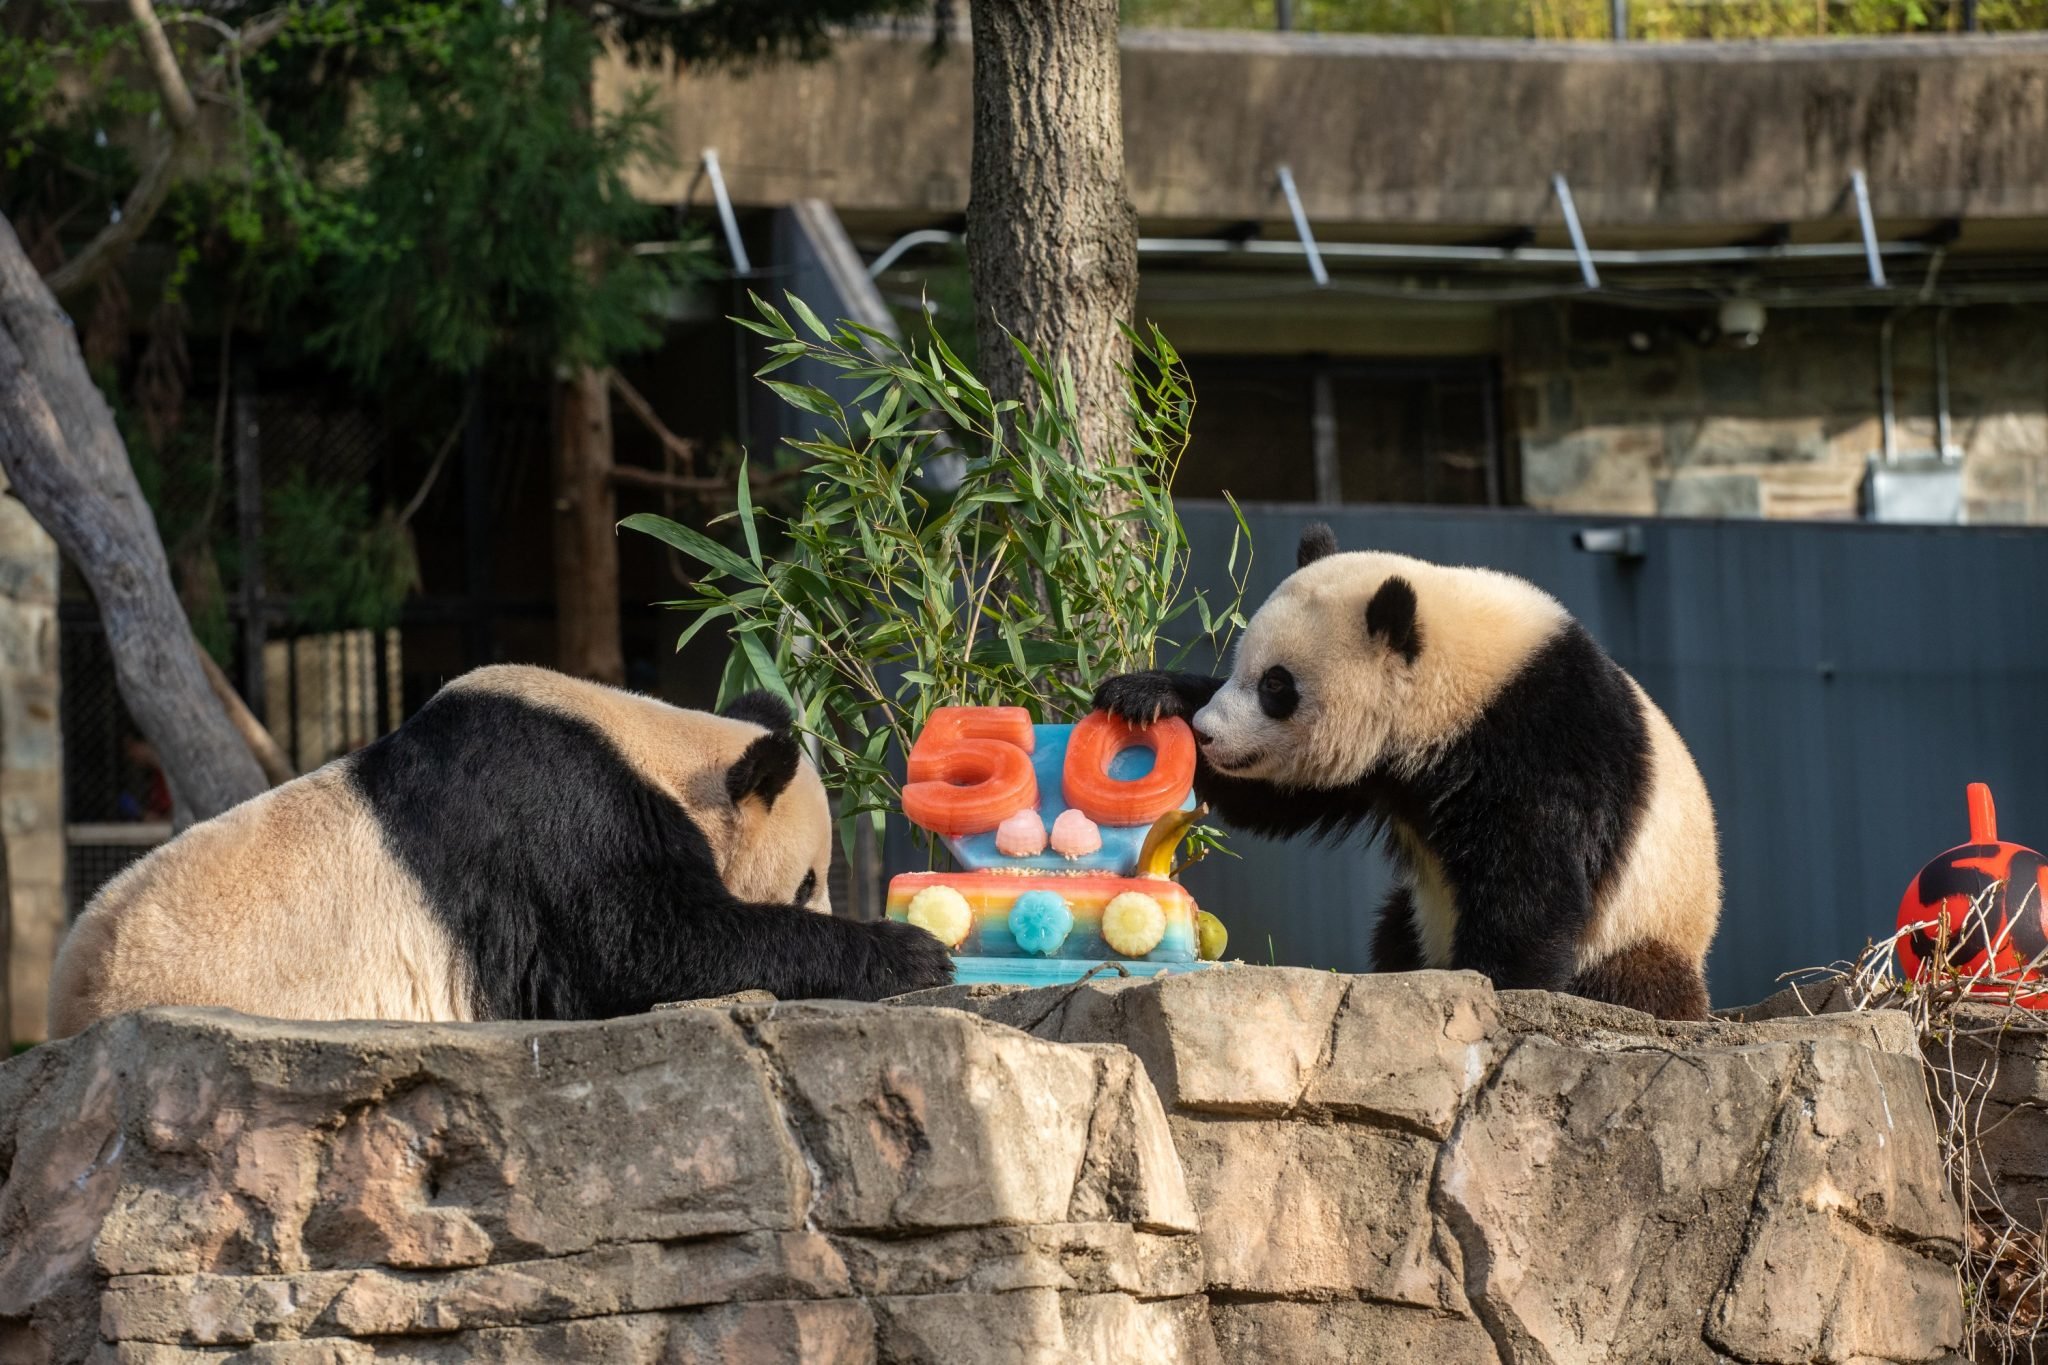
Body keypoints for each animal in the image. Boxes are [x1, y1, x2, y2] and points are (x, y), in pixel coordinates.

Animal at [46, 663, 958, 1035]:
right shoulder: (560, 828)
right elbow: (650, 946)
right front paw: (912, 951)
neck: (657, 749)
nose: (822, 897)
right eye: (808, 882)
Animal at [1097, 527, 1720, 1019]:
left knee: (1636, 979)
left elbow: (1533, 877)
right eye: (1239, 667)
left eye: (1277, 685)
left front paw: (1495, 982)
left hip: (1639, 926)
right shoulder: (1378, 768)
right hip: (1423, 914)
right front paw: (1144, 696)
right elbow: (1277, 797)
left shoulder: (1543, 739)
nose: (1208, 733)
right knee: (1395, 927)